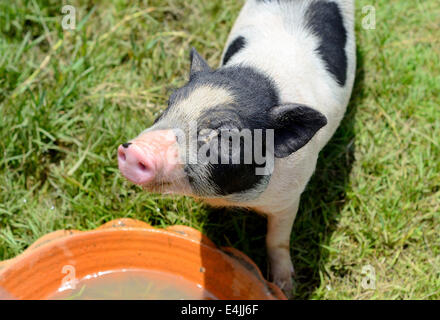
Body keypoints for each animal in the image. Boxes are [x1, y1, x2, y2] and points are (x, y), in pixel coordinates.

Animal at [117, 0, 358, 296]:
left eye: (226, 135)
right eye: (168, 105)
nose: (136, 149)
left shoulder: (291, 196)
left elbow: (277, 240)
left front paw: (285, 288)